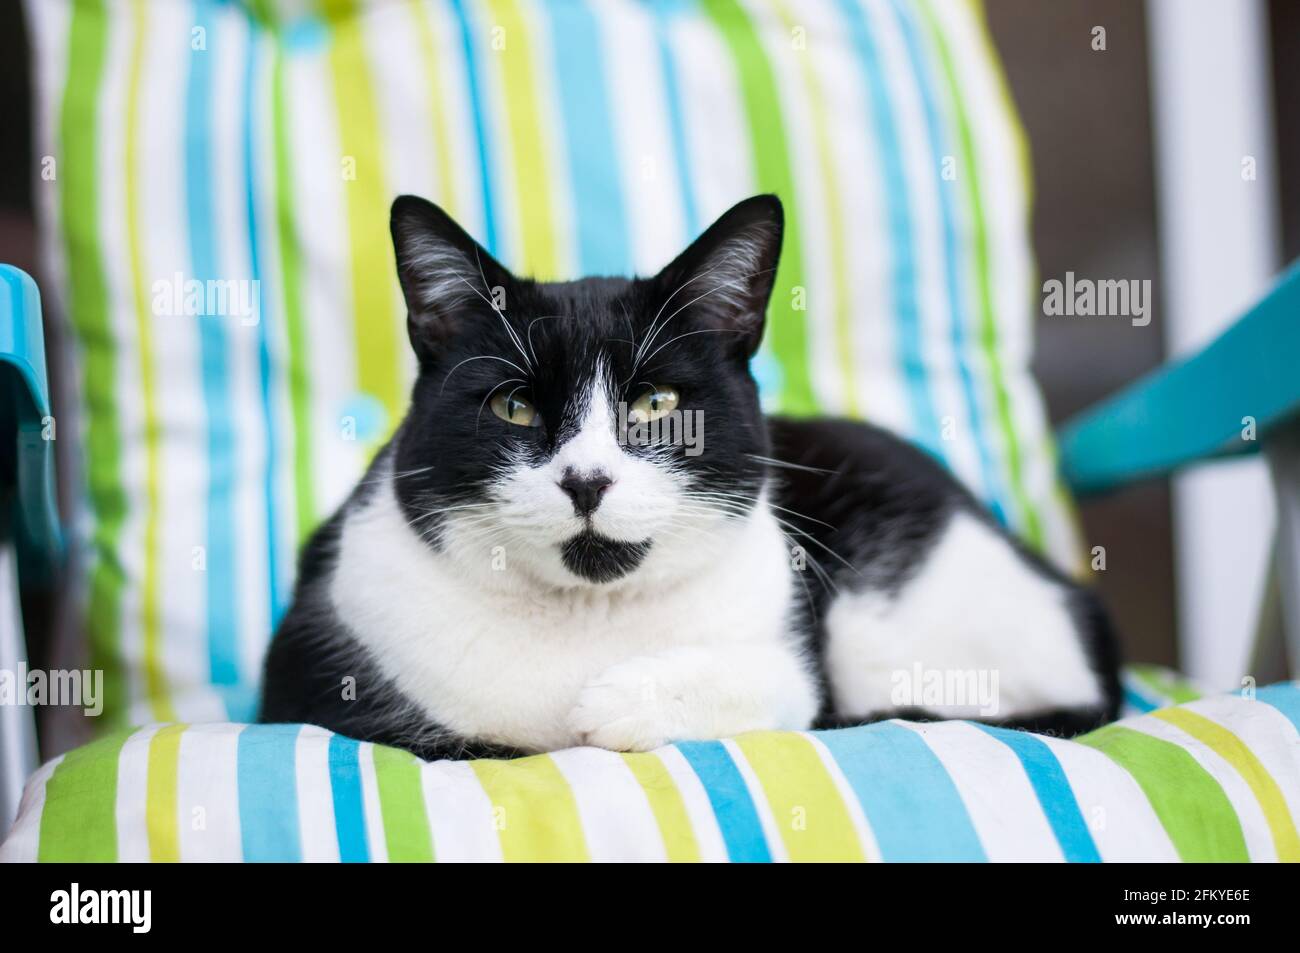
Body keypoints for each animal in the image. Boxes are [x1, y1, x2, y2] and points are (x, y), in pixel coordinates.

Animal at [258, 193, 1123, 759]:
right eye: (513, 406)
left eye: (658, 403)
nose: (586, 480)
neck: (588, 621)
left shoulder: (794, 651)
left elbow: (790, 687)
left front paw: (628, 702)